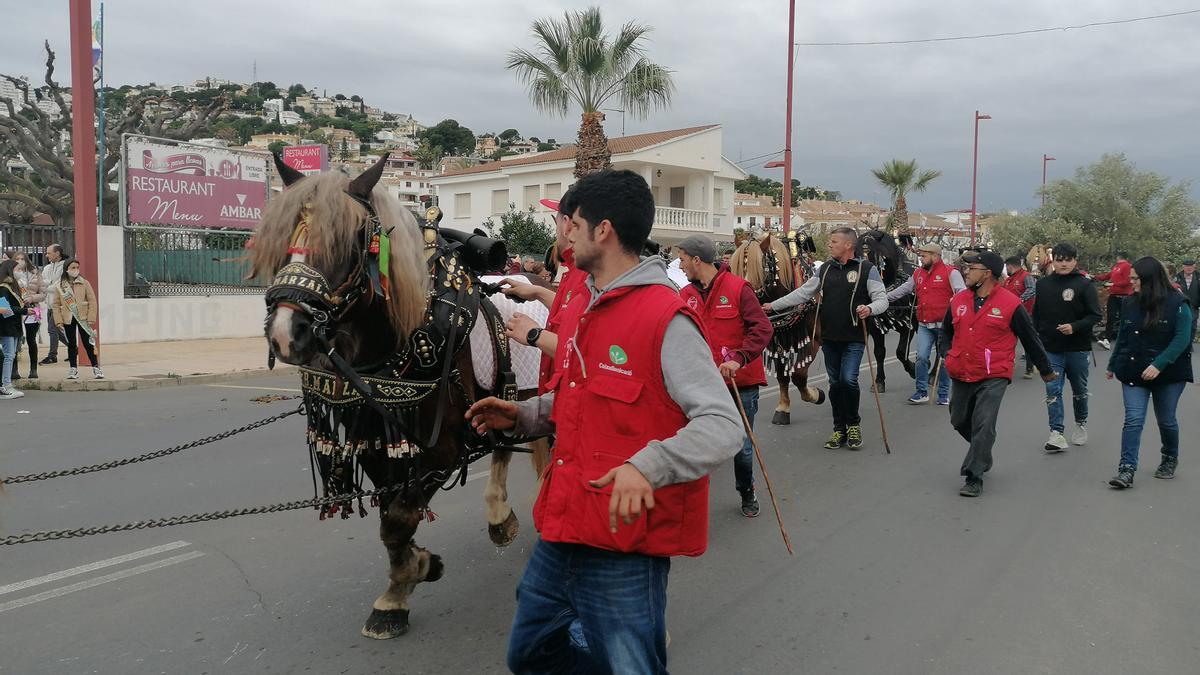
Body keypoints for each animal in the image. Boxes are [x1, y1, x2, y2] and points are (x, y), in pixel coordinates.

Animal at [258, 154, 552, 638]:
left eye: (349, 238)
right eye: (283, 237)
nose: (287, 332)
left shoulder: (441, 449)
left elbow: (398, 519)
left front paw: (400, 590)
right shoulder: (377, 439)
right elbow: (391, 516)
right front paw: (415, 568)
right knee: (504, 446)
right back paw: (500, 516)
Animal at [729, 228, 825, 422]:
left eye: (759, 269)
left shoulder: (813, 339)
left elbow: (798, 375)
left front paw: (815, 394)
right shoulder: (776, 341)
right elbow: (782, 375)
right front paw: (783, 408)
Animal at [859, 228, 912, 391]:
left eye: (869, 252)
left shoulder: (909, 326)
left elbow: (901, 352)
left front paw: (913, 369)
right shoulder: (876, 328)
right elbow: (879, 352)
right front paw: (879, 381)